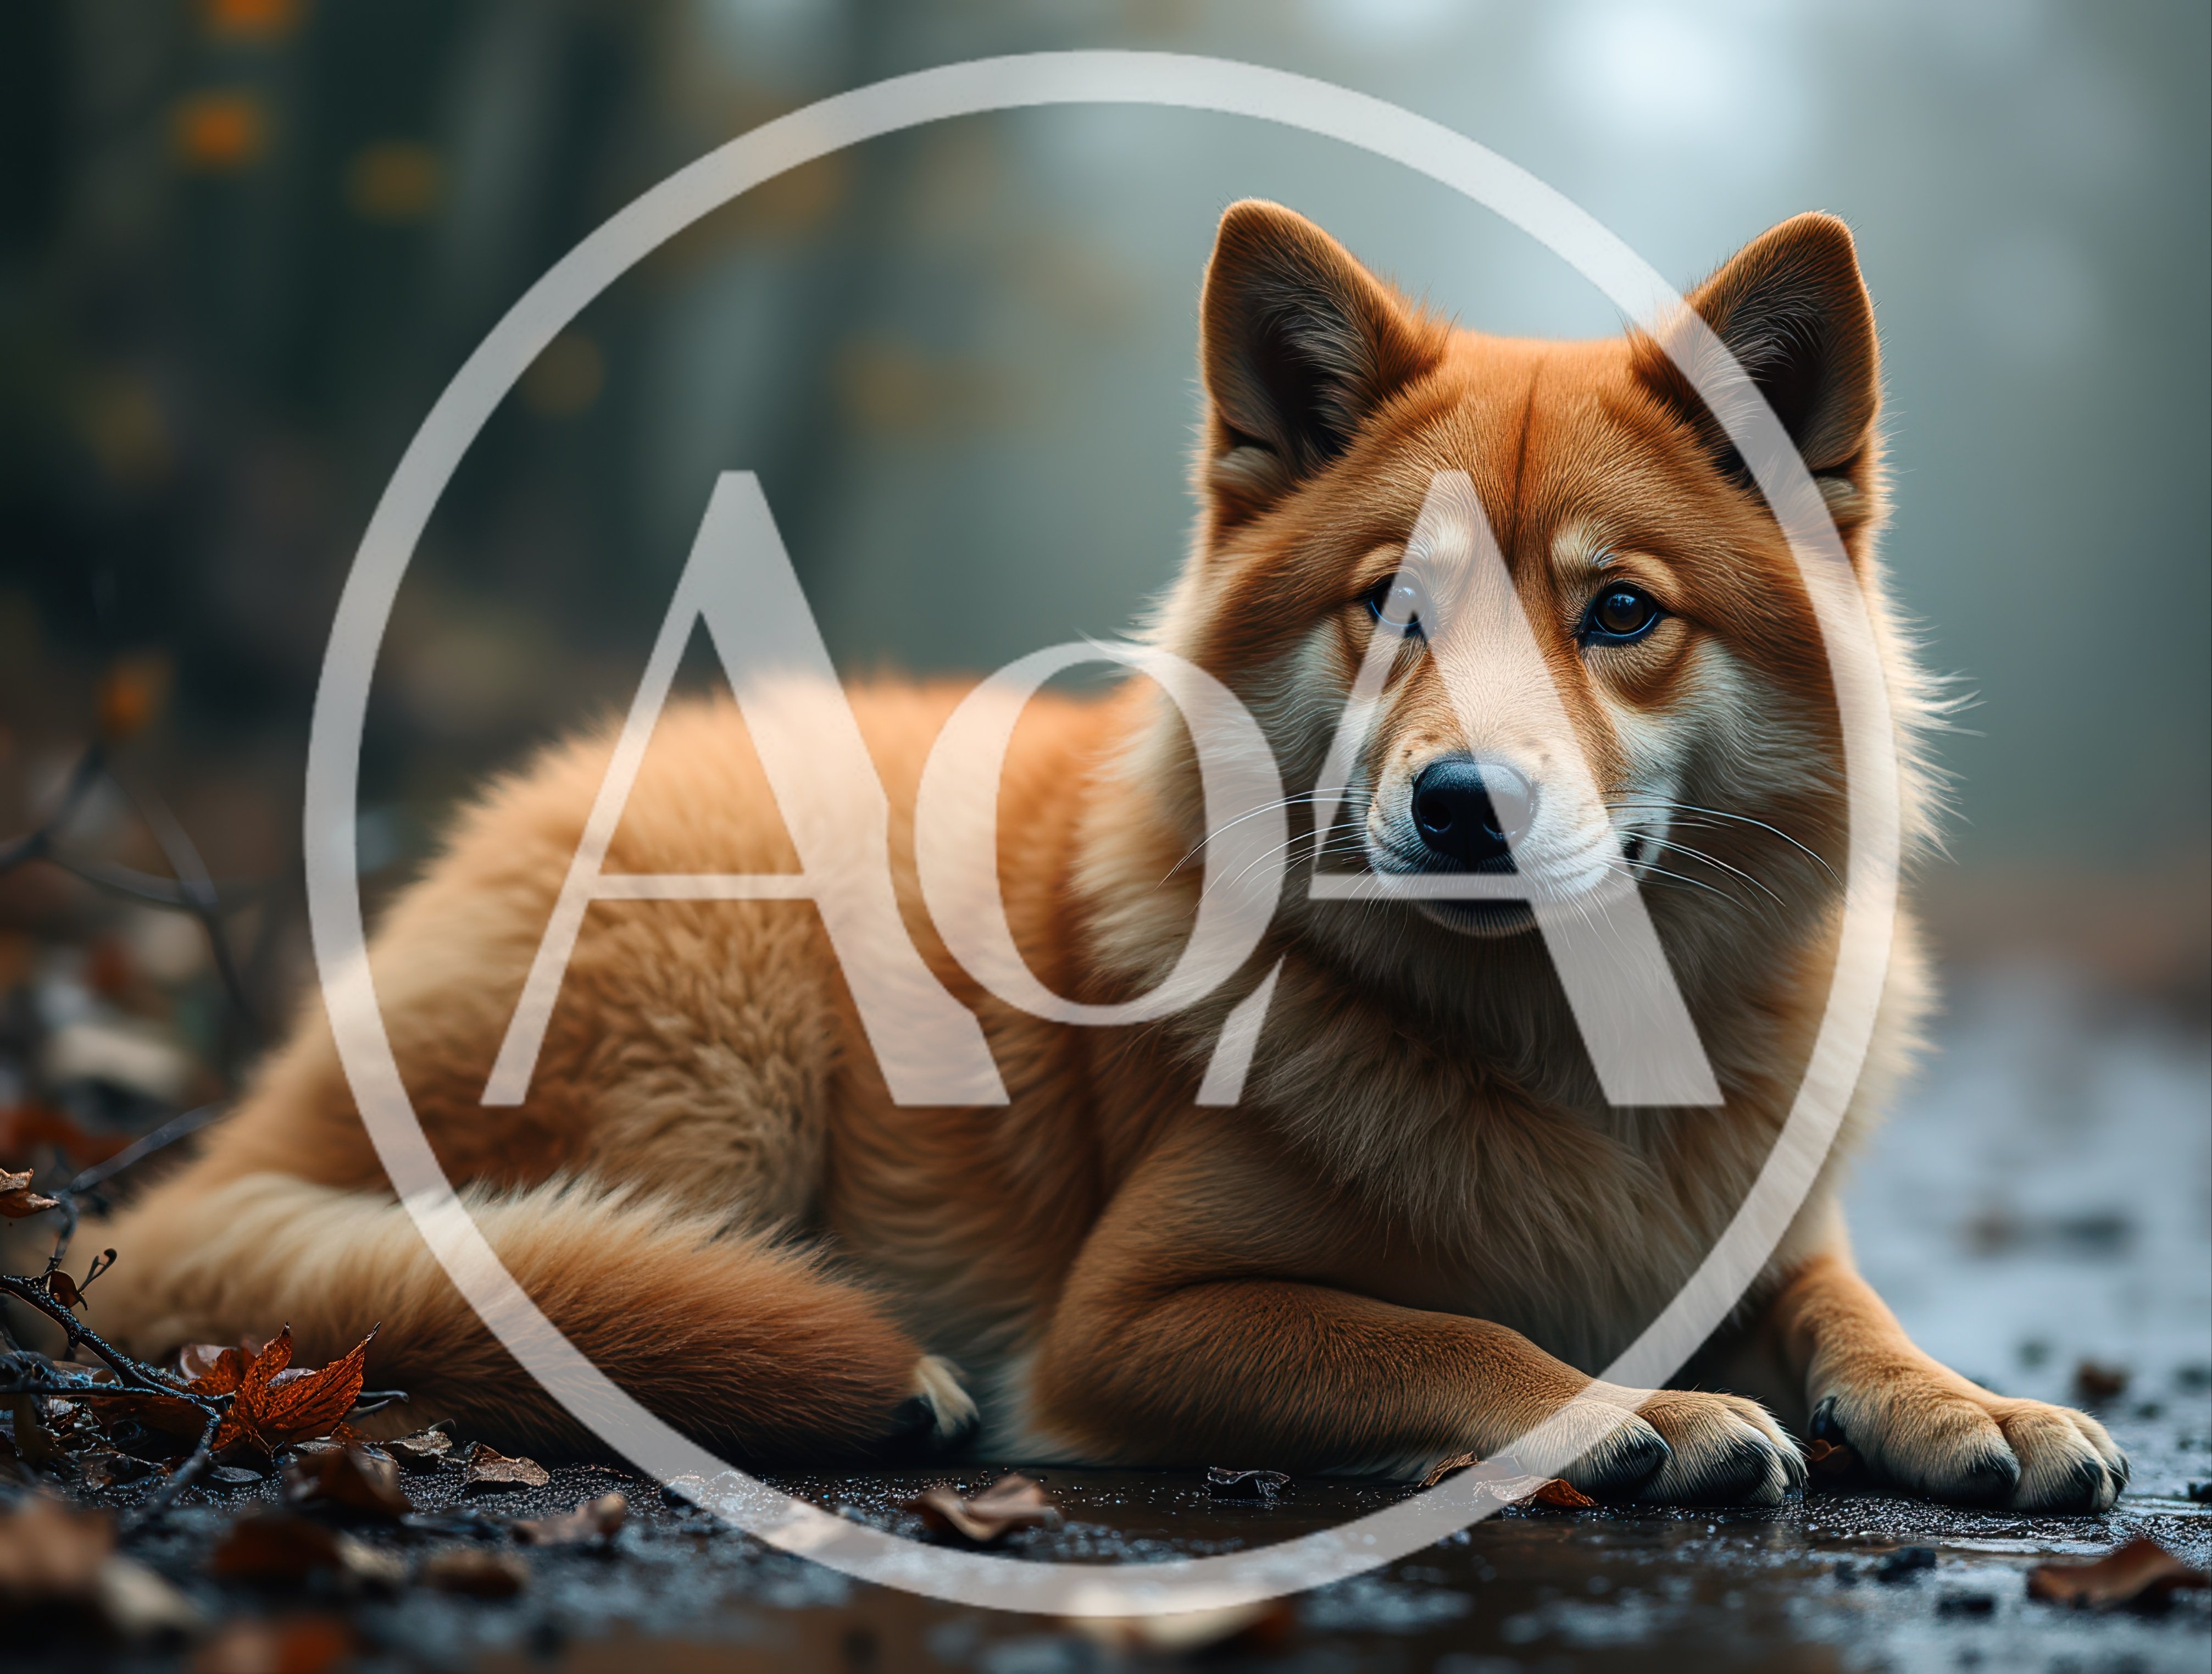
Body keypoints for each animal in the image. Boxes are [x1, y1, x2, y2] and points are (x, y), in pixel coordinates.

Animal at [96, 201, 2126, 1511]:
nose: (1462, 804)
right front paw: (1646, 1409)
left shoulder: (1770, 1233)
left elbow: (1850, 1307)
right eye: (1394, 606)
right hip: (718, 1033)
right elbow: (1438, 1336)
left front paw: (1971, 1402)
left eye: (1619, 612)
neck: (1550, 1060)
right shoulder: (1132, 1321)